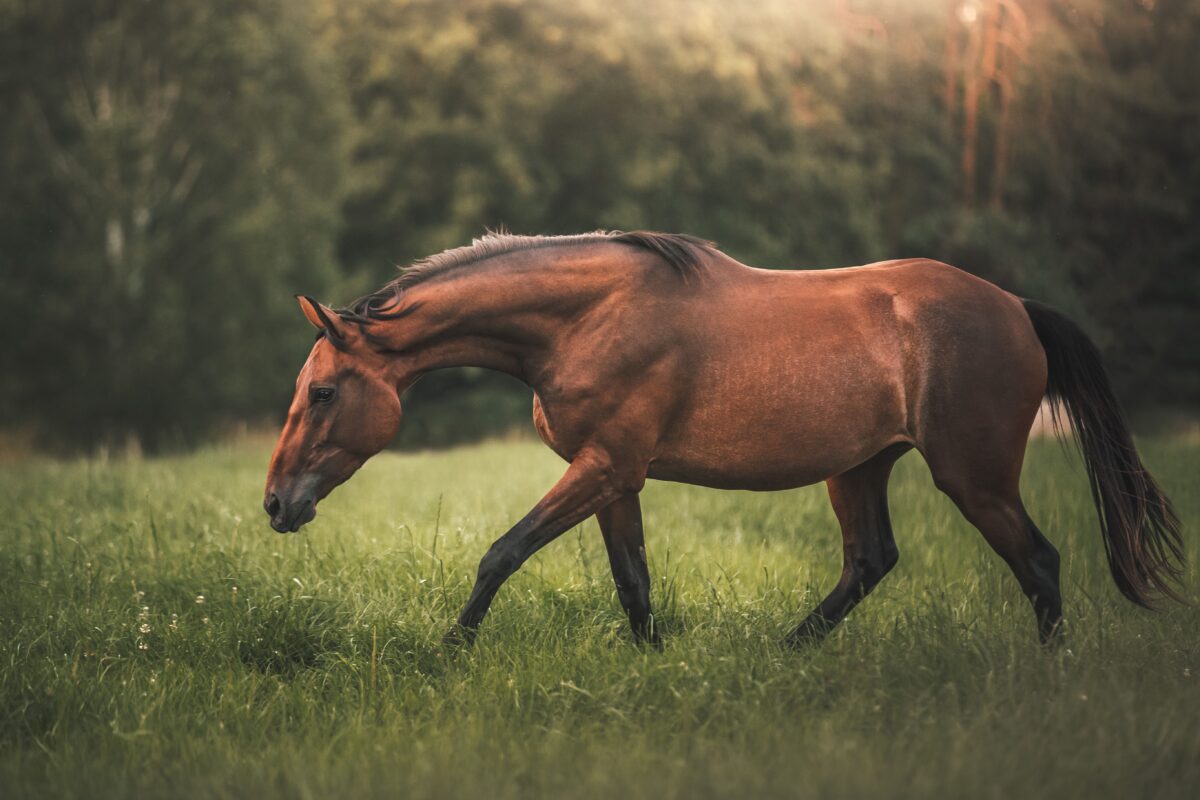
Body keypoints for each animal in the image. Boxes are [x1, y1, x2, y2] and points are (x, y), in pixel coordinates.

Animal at [263, 230, 1183, 647]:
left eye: (322, 390)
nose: (275, 504)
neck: (586, 319)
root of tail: (1017, 308)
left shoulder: (603, 466)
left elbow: (501, 552)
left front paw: (451, 650)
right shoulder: (616, 476)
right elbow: (632, 582)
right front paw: (653, 664)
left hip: (974, 477)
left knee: (1040, 563)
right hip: (859, 468)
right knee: (870, 561)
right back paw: (786, 652)